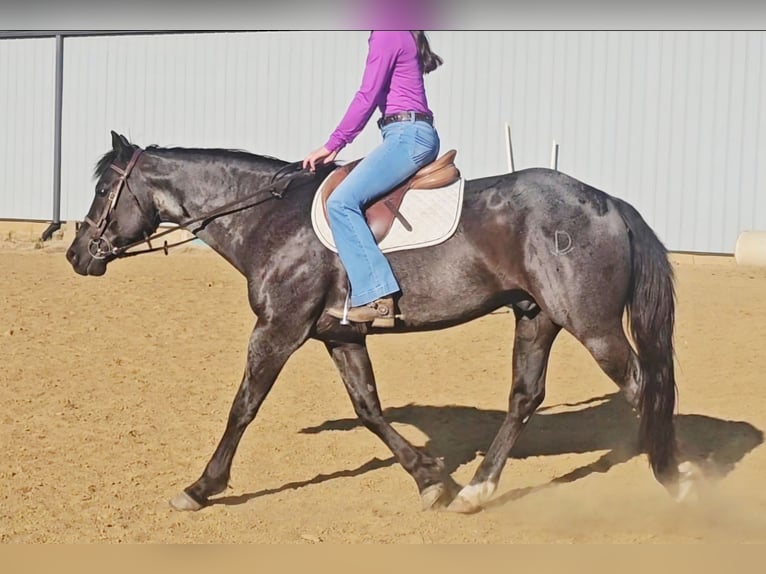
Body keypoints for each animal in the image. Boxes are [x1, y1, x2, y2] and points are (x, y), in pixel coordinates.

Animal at [65, 131, 697, 514]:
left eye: (104, 189)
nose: (75, 254)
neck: (271, 218)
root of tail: (609, 203)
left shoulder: (277, 331)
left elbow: (243, 406)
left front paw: (201, 488)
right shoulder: (339, 335)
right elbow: (369, 409)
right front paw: (430, 478)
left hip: (592, 326)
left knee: (641, 386)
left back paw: (676, 477)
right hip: (536, 318)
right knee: (525, 398)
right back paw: (475, 490)